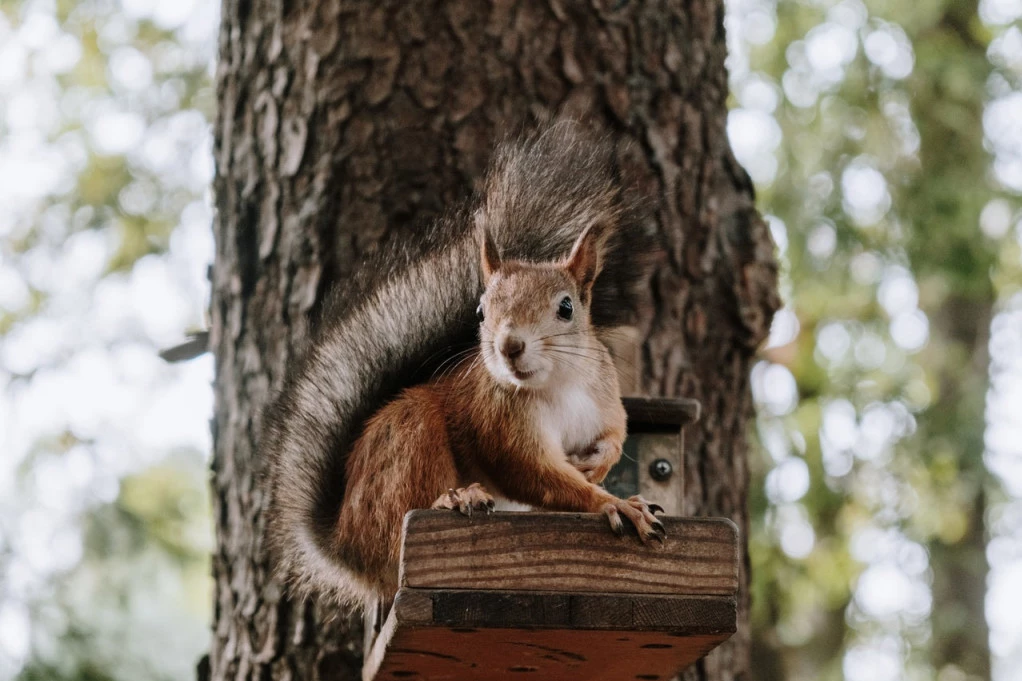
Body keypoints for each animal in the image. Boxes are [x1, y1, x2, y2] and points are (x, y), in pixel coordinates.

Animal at [262, 122, 661, 610]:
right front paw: (612, 502)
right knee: (397, 524)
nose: (509, 346)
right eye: (481, 310)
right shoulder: (499, 424)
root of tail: (346, 544)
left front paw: (599, 466)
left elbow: (615, 435)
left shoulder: (604, 397)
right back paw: (452, 501)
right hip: (407, 441)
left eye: (567, 308)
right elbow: (535, 475)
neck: (557, 385)